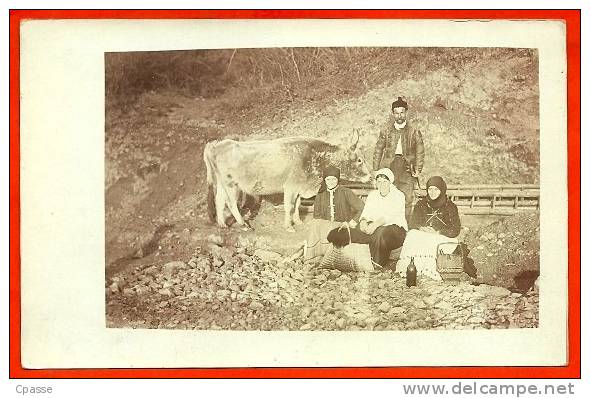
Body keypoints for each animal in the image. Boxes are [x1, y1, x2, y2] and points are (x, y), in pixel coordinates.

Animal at [204, 131, 370, 232]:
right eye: (359, 160)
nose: (370, 176)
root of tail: (217, 144)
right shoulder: (291, 186)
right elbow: (289, 206)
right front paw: (289, 226)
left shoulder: (299, 187)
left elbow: (297, 205)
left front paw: (298, 221)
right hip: (231, 184)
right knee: (230, 203)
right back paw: (243, 224)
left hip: (223, 184)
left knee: (219, 200)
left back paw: (222, 224)